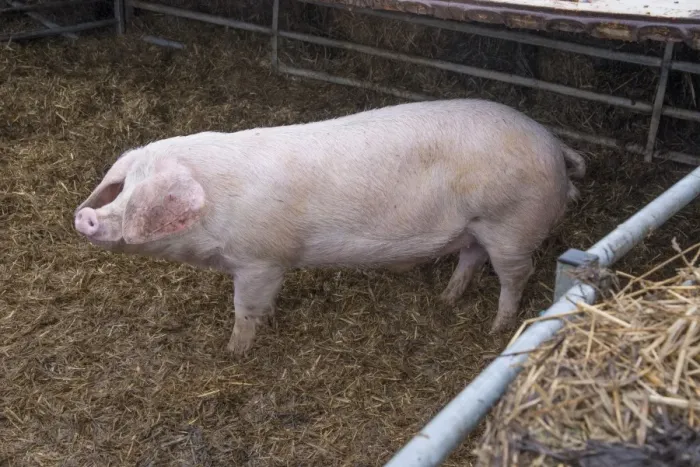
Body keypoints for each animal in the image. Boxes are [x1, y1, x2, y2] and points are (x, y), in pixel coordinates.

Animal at [74, 98, 585, 355]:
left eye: (143, 196)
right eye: (122, 185)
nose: (85, 215)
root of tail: (553, 144)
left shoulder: (261, 260)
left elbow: (245, 310)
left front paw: (234, 352)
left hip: (512, 224)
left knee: (515, 277)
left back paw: (498, 331)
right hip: (478, 226)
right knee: (471, 257)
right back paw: (446, 300)